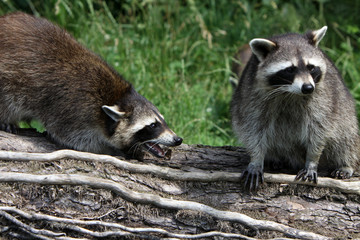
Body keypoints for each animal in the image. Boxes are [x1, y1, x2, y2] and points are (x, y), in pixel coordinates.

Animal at [0, 12, 181, 157]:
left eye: (163, 120)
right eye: (152, 125)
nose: (178, 139)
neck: (117, 97)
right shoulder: (72, 111)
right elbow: (76, 140)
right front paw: (112, 149)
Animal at [232, 25, 358, 188]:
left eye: (311, 67)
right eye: (290, 69)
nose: (308, 88)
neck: (290, 92)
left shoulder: (323, 99)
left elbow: (319, 130)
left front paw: (312, 160)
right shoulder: (251, 95)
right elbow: (253, 128)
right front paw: (256, 159)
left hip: (344, 112)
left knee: (346, 138)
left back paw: (346, 163)